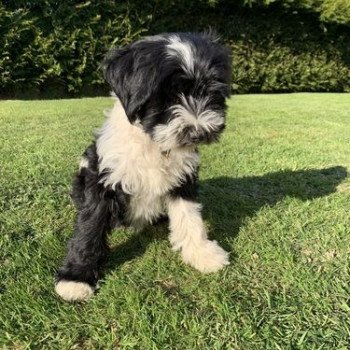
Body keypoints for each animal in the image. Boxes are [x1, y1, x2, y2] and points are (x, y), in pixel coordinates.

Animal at [55, 32, 232, 300]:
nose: (199, 132)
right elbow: (89, 226)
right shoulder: (103, 177)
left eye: (212, 91)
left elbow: (189, 216)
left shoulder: (184, 178)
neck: (152, 142)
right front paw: (76, 278)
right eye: (166, 96)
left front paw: (201, 253)